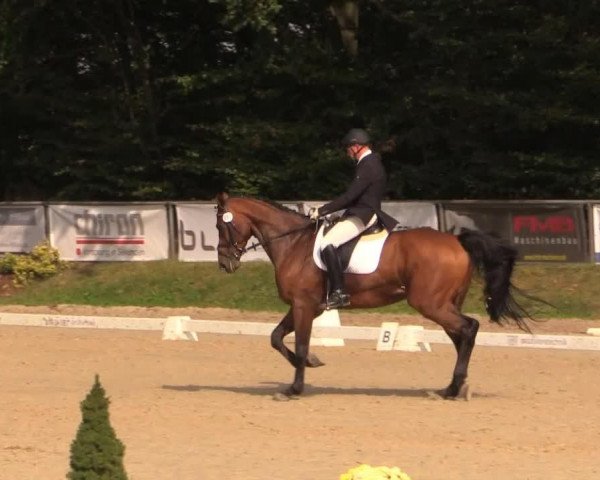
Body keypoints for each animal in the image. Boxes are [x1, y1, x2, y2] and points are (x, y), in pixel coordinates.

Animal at [213, 193, 532, 400]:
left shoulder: (304, 305)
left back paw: (453, 389)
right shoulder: (305, 306)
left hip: (430, 303)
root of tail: (457, 240)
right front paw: (312, 363)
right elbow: (276, 337)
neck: (293, 243)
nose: (225, 264)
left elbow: (299, 345)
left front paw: (295, 388)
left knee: (469, 328)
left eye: (220, 225)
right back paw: (455, 387)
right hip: (445, 303)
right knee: (461, 336)